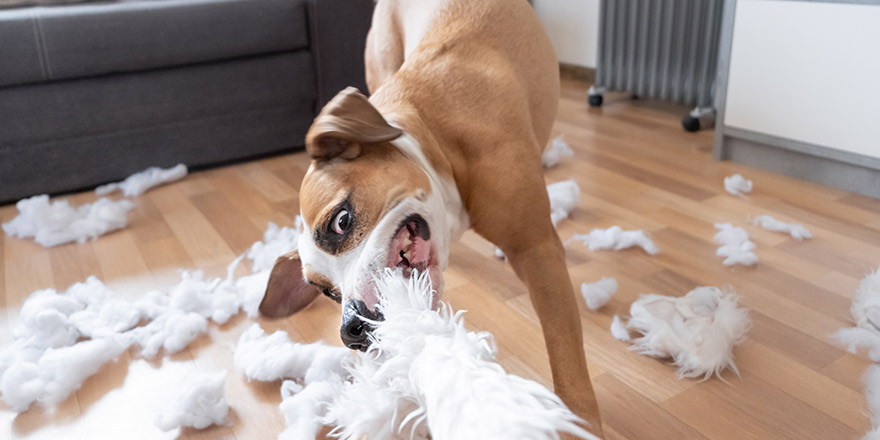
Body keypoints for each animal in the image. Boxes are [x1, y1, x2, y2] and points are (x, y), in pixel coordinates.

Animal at [260, 0, 604, 434]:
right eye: (327, 293)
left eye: (341, 221)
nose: (352, 328)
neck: (435, 138)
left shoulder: (537, 250)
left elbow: (566, 357)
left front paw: (582, 424)